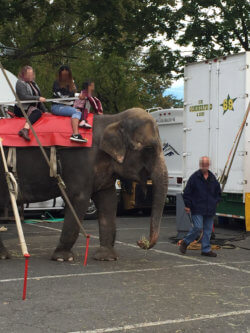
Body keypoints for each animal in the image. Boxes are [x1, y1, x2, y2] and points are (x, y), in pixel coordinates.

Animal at [0, 107, 168, 260]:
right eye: (149, 148)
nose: (142, 242)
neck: (112, 119)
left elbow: (109, 202)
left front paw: (106, 257)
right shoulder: (80, 162)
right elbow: (78, 199)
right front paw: (63, 258)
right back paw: (4, 256)